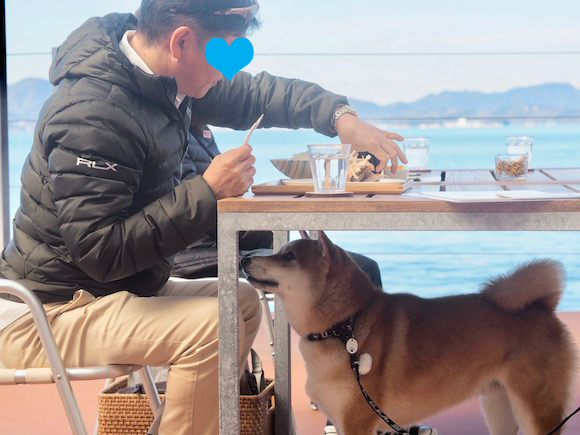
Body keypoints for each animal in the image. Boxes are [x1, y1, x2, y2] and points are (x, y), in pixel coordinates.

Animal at [240, 232, 576, 435]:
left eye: (288, 257)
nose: (244, 259)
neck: (344, 325)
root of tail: (542, 307)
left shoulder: (356, 422)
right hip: (499, 407)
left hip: (536, 410)